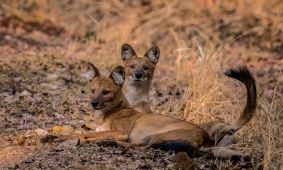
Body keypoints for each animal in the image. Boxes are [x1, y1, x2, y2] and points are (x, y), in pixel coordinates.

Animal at [61, 64, 258, 159]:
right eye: (92, 90)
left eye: (106, 92)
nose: (94, 103)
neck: (107, 113)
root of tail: (207, 137)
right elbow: (85, 132)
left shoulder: (121, 132)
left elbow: (85, 135)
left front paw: (66, 138)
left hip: (156, 135)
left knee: (141, 146)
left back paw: (109, 143)